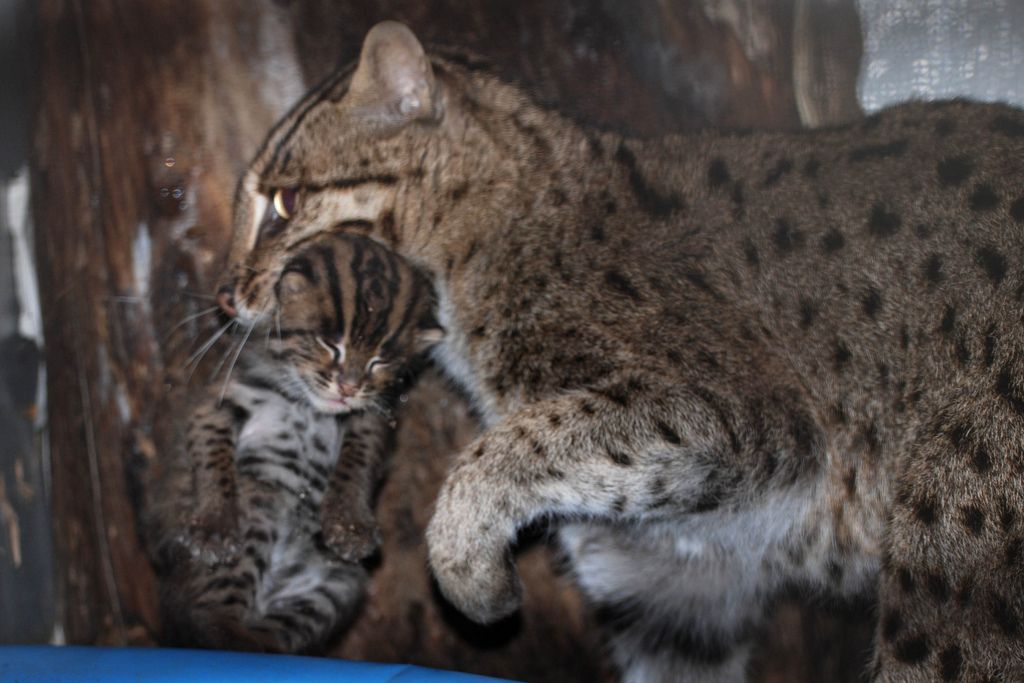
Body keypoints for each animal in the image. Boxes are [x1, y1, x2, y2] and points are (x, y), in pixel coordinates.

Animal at [147, 231, 440, 651]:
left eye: (380, 361)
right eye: (330, 344)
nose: (348, 387)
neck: (308, 404)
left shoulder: (371, 418)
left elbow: (359, 461)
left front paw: (349, 523)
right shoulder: (218, 404)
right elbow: (212, 457)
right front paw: (214, 525)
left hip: (336, 585)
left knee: (279, 634)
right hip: (259, 506)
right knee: (209, 618)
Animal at [216, 21, 1024, 683]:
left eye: (282, 205)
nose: (225, 296)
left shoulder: (741, 412)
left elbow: (496, 455)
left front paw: (468, 570)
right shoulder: (669, 588)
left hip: (950, 551)